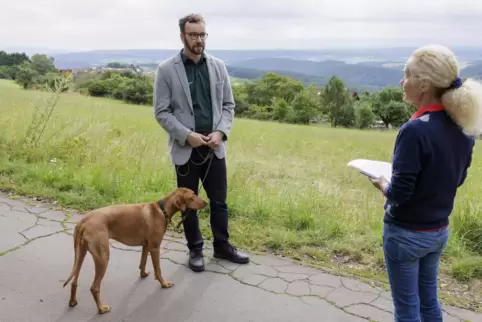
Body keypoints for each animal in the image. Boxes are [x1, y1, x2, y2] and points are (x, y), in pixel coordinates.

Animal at [61, 187, 206, 314]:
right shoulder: (155, 248)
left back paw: (73, 301)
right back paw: (101, 309)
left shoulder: (146, 246)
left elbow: (142, 262)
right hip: (103, 257)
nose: (206, 202)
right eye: (193, 196)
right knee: (94, 288)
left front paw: (143, 274)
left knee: (74, 281)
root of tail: (83, 221)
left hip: (81, 254)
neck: (162, 210)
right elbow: (158, 270)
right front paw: (164, 284)